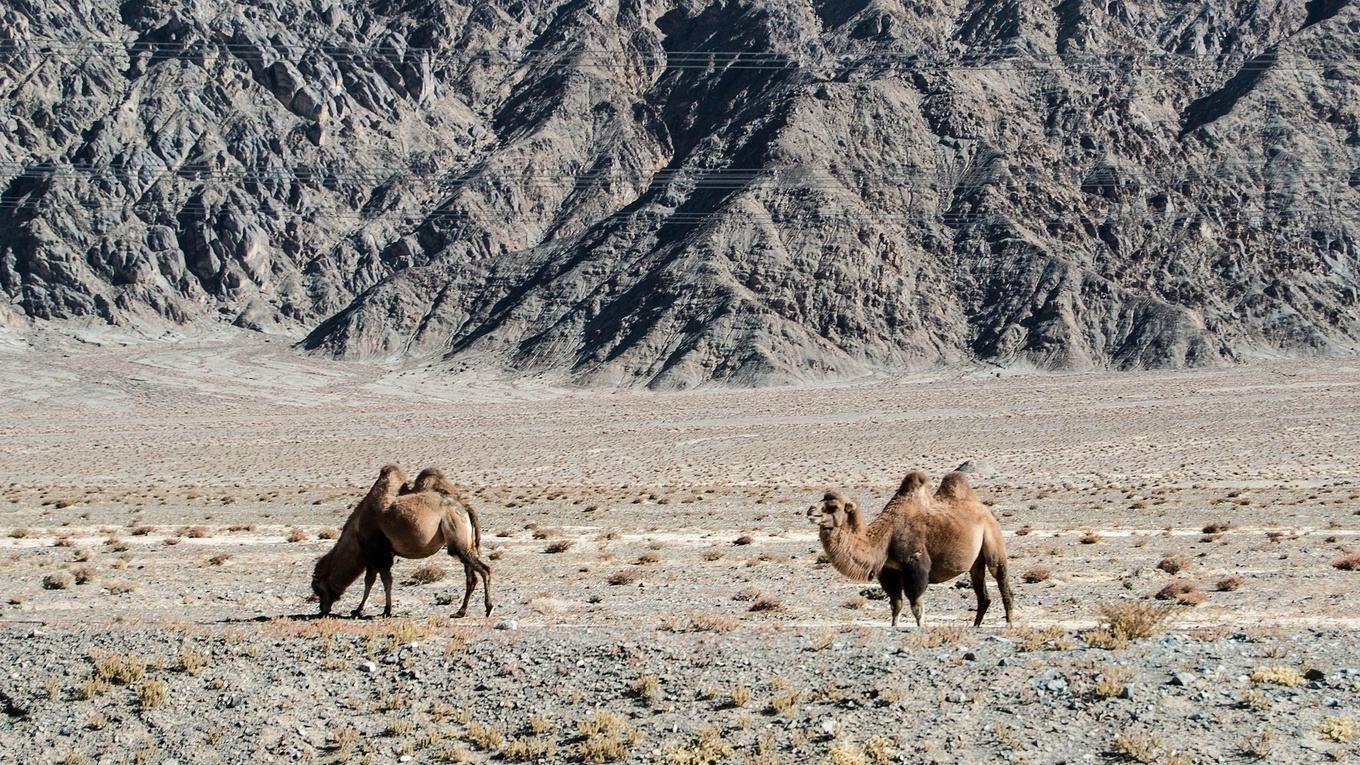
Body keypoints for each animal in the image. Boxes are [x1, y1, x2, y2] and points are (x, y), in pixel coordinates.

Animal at [312, 462, 495, 615]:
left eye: (318, 589)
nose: (322, 610)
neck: (357, 530)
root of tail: (465, 507)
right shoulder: (375, 556)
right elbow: (371, 580)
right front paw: (360, 610)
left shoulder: (379, 553)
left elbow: (382, 581)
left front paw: (382, 611)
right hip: (465, 544)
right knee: (471, 577)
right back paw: (460, 612)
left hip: (457, 537)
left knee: (484, 569)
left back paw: (488, 608)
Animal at [805, 468, 1011, 628]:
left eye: (833, 506)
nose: (810, 510)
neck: (886, 535)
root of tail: (985, 510)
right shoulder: (889, 570)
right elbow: (896, 604)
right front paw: (894, 626)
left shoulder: (915, 564)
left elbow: (916, 605)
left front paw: (920, 628)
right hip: (976, 561)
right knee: (982, 592)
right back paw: (975, 625)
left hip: (992, 538)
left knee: (1001, 578)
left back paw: (1009, 623)